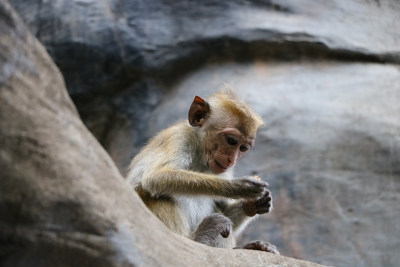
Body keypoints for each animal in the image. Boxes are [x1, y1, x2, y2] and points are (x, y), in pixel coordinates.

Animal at [126, 90, 280, 255]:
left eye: (243, 148)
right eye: (232, 140)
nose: (231, 160)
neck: (200, 155)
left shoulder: (224, 170)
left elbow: (226, 212)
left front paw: (255, 203)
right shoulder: (178, 137)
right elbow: (156, 177)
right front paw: (239, 187)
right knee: (154, 193)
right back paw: (199, 238)